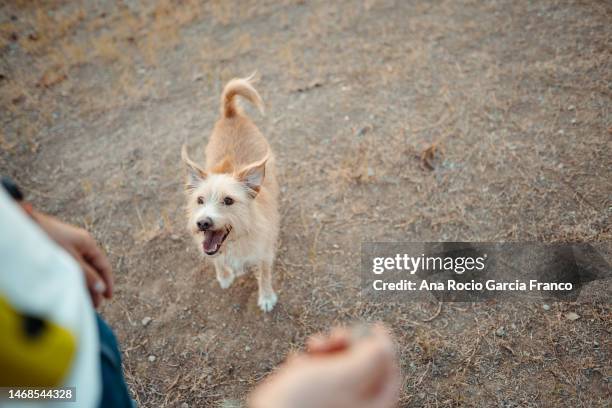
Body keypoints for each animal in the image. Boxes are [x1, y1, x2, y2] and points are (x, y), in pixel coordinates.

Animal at [180, 74, 278, 312]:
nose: (202, 223)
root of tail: (230, 113)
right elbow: (216, 258)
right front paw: (224, 275)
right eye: (200, 200)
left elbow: (265, 274)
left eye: (228, 200)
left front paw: (266, 297)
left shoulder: (265, 251)